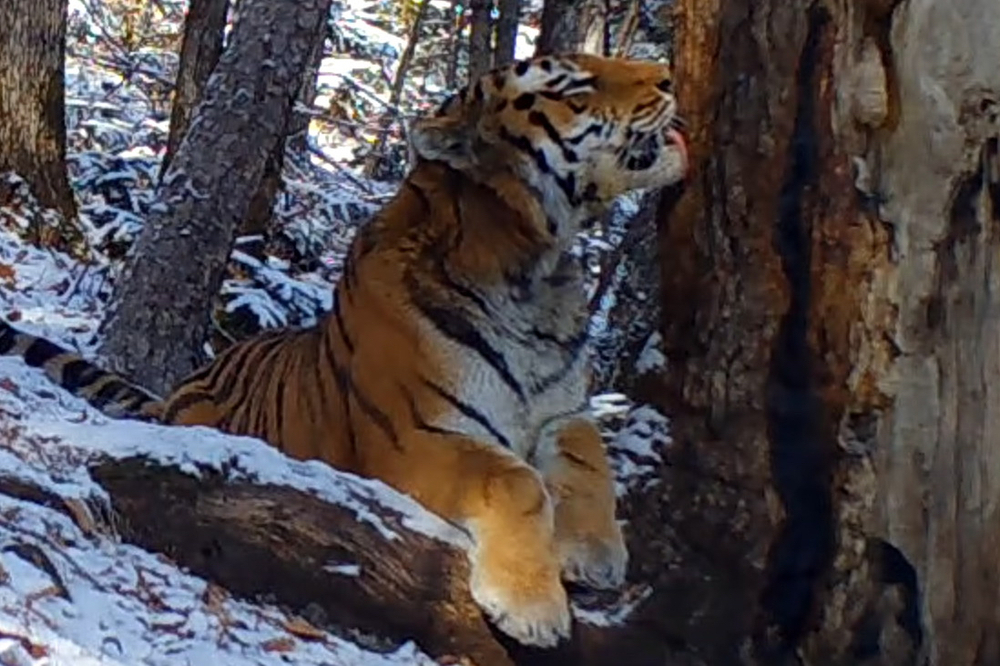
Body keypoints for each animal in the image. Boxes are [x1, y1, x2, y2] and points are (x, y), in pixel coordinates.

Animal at [0, 53, 688, 648]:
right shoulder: (413, 436)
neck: (531, 272)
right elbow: (517, 479)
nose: (668, 75)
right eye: (575, 87)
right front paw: (530, 607)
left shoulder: (561, 410)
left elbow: (590, 455)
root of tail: (181, 387)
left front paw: (598, 555)